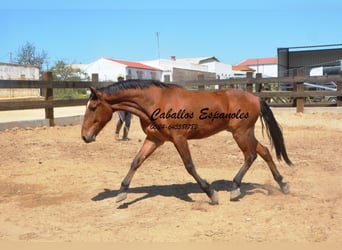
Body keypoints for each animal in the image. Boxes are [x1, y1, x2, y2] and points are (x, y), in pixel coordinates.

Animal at [81, 80, 292, 205]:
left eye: (93, 107)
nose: (85, 136)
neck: (156, 102)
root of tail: (255, 98)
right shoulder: (155, 139)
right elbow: (136, 162)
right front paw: (122, 192)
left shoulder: (179, 138)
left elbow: (189, 166)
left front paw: (211, 194)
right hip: (245, 133)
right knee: (264, 151)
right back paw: (282, 184)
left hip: (241, 133)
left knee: (251, 155)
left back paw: (235, 188)